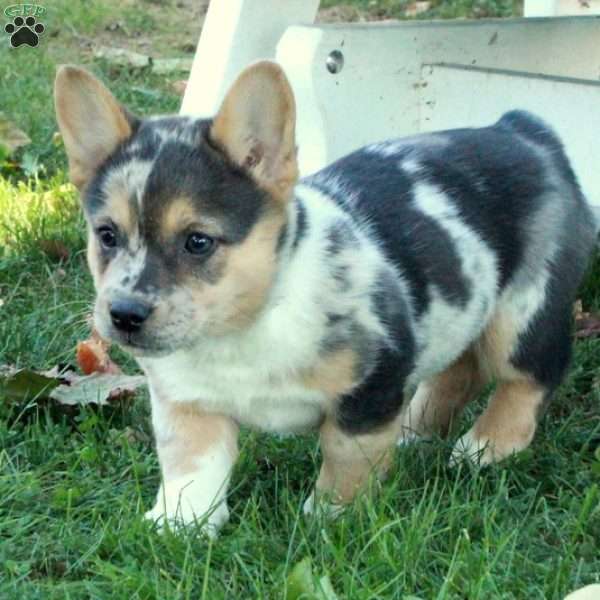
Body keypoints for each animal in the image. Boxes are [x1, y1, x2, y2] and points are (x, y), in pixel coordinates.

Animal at [55, 59, 596, 528]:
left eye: (198, 241)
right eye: (107, 235)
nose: (124, 314)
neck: (246, 328)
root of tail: (524, 131)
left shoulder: (368, 391)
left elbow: (345, 457)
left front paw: (332, 519)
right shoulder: (190, 405)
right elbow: (192, 468)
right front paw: (179, 526)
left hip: (522, 314)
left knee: (532, 376)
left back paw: (486, 447)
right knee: (458, 371)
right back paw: (414, 432)